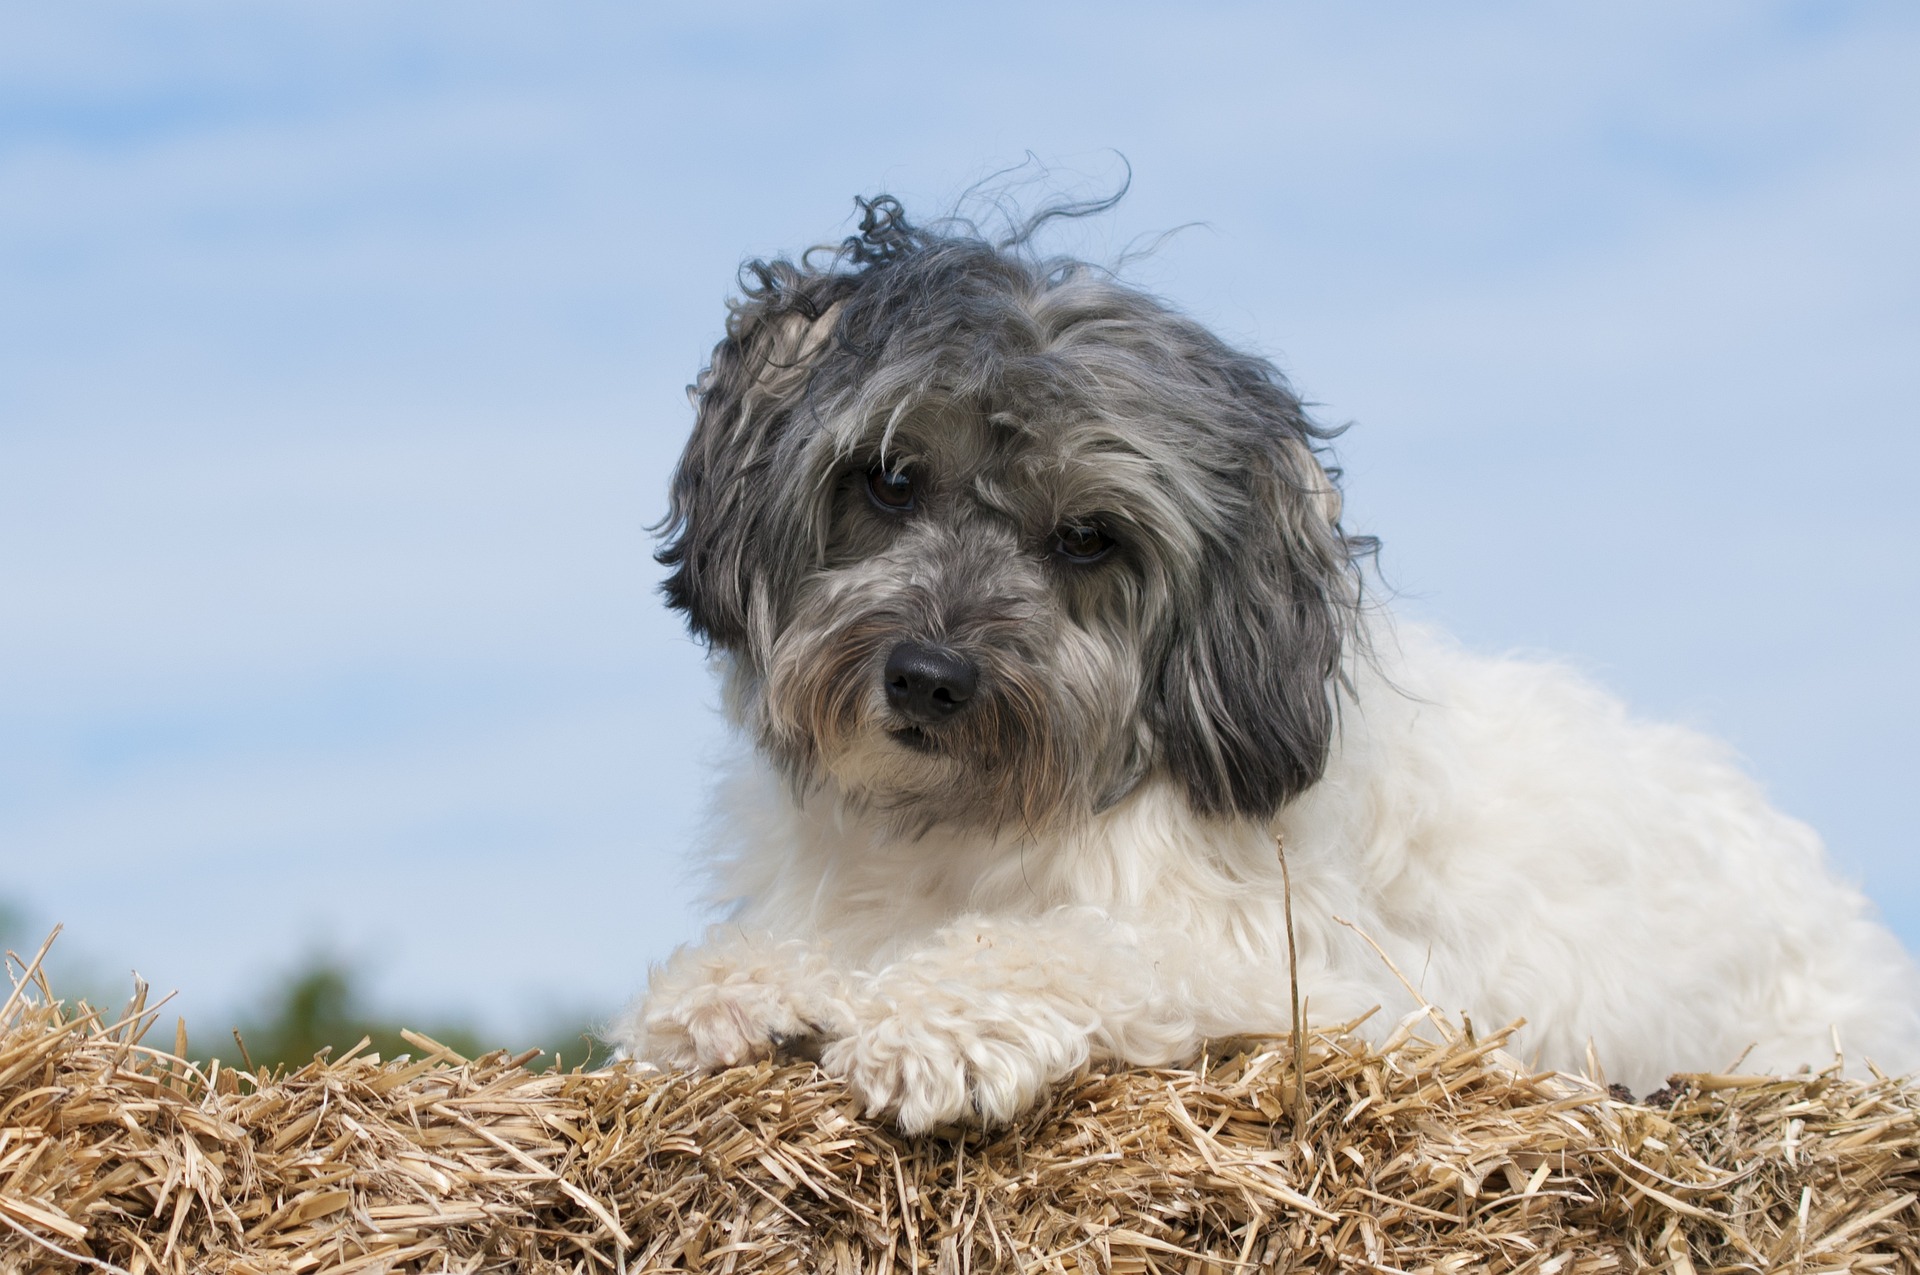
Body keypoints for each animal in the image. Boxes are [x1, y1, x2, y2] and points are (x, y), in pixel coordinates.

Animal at [614, 193, 1920, 1129]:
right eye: (889, 476)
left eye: (1087, 536)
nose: (930, 679)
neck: (971, 830)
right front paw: (725, 991)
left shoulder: (1339, 988)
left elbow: (1104, 950)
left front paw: (938, 1016)